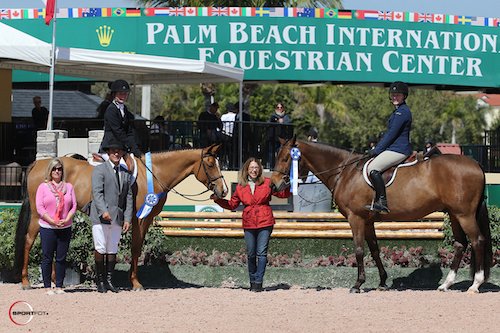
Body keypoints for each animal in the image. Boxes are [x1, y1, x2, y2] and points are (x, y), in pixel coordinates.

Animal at [14, 144, 228, 290]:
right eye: (210, 164)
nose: (223, 191)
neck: (154, 174)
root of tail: (39, 163)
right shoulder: (139, 218)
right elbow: (135, 249)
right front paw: (135, 283)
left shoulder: (144, 220)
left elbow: (134, 249)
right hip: (38, 215)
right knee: (28, 241)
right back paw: (25, 281)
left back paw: (52, 280)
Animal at [270, 136, 492, 292]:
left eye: (287, 158)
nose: (274, 185)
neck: (345, 172)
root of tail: (475, 164)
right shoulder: (368, 221)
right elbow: (375, 250)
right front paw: (383, 282)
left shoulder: (356, 219)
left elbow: (359, 250)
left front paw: (357, 284)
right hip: (454, 214)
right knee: (461, 244)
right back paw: (446, 284)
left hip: (464, 214)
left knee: (477, 240)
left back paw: (475, 284)